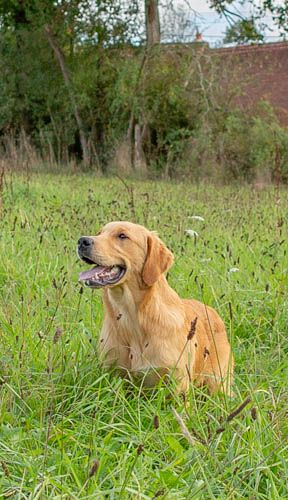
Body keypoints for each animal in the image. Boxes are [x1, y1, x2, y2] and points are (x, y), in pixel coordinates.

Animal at [77, 223, 233, 394]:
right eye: (99, 233)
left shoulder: (176, 384)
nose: (82, 241)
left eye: (122, 236)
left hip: (218, 384)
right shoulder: (113, 375)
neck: (132, 319)